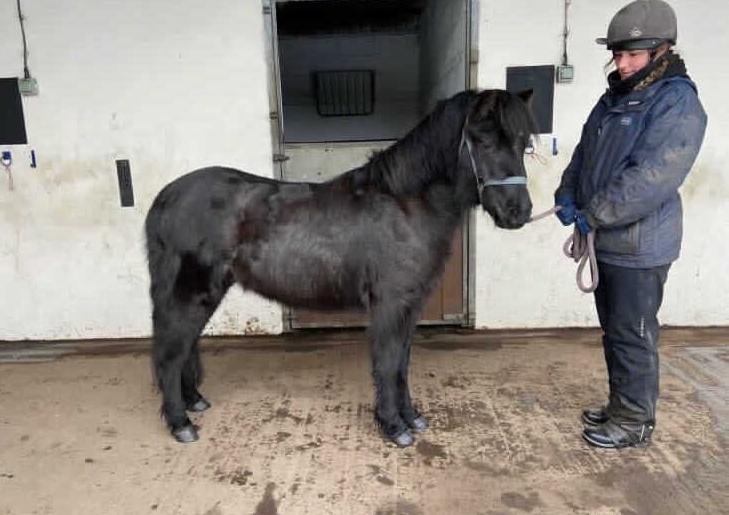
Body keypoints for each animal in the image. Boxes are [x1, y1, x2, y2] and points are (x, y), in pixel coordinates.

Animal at [144, 88, 536, 447]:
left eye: (523, 143)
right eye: (484, 141)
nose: (518, 212)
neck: (404, 205)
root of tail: (166, 197)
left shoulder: (410, 307)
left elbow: (403, 363)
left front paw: (411, 418)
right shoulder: (390, 304)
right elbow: (388, 363)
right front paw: (394, 426)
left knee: (184, 347)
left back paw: (194, 401)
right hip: (191, 293)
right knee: (171, 352)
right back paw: (181, 423)